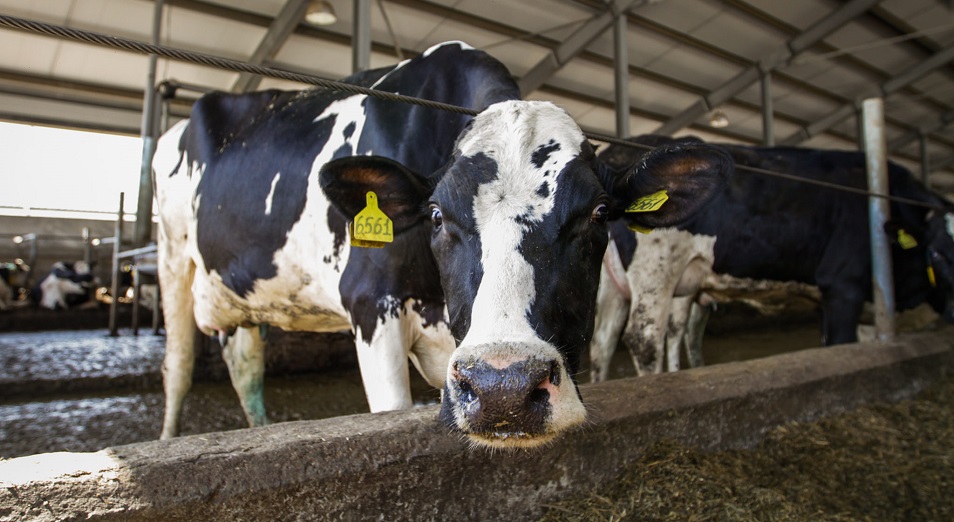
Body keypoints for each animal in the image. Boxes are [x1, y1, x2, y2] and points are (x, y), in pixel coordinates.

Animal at [154, 41, 728, 446]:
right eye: (435, 214)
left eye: (599, 213)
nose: (503, 391)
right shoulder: (371, 304)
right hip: (171, 259)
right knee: (177, 369)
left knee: (244, 365)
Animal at [588, 133, 952, 378]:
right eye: (937, 253)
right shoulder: (844, 284)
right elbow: (840, 343)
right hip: (656, 271)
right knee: (644, 338)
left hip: (619, 284)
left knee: (605, 342)